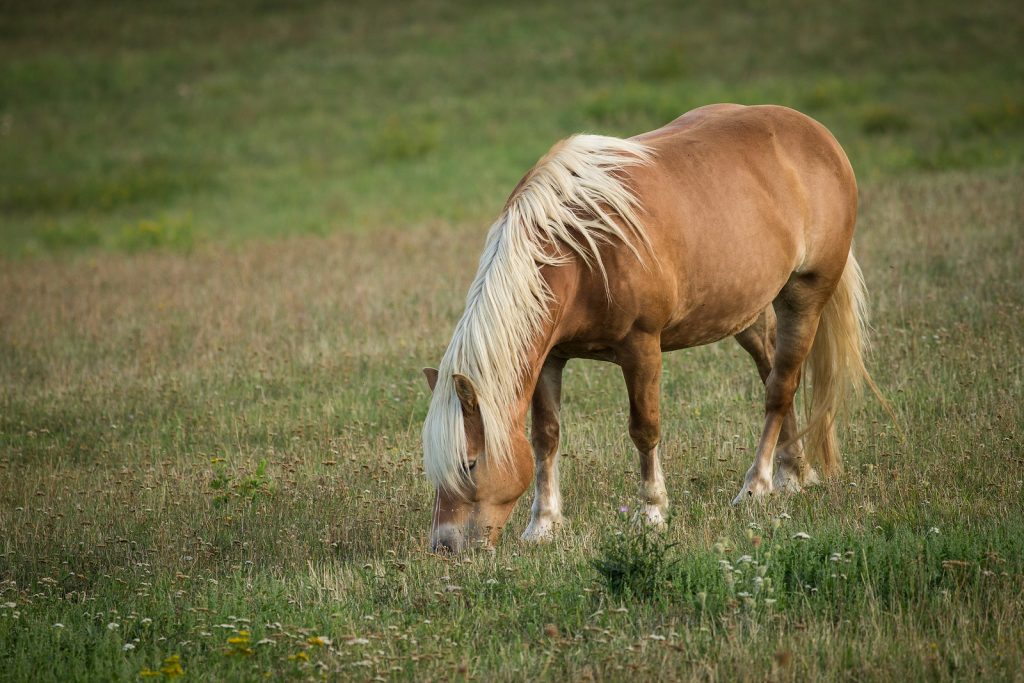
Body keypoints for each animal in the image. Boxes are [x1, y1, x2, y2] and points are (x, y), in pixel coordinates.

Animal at [419, 102, 876, 557]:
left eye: (469, 464)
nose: (444, 545)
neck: (581, 249)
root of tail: (819, 135)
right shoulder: (550, 357)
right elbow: (545, 437)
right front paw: (544, 524)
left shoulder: (641, 348)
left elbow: (644, 430)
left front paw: (652, 514)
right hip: (747, 312)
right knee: (777, 376)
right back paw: (792, 474)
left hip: (805, 295)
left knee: (780, 388)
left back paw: (757, 486)